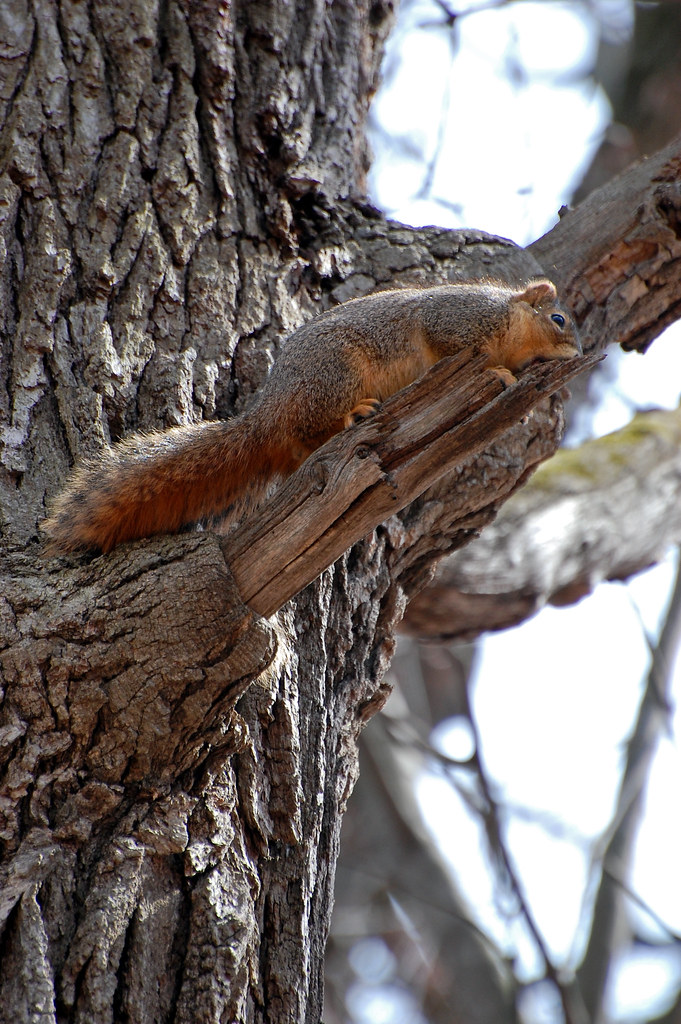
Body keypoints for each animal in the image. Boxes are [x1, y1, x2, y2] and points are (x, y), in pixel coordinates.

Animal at [43, 279, 580, 554]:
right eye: (558, 319)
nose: (578, 352)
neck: (510, 325)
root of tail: (270, 409)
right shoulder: (456, 319)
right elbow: (454, 347)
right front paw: (499, 374)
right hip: (335, 373)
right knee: (314, 425)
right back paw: (353, 415)